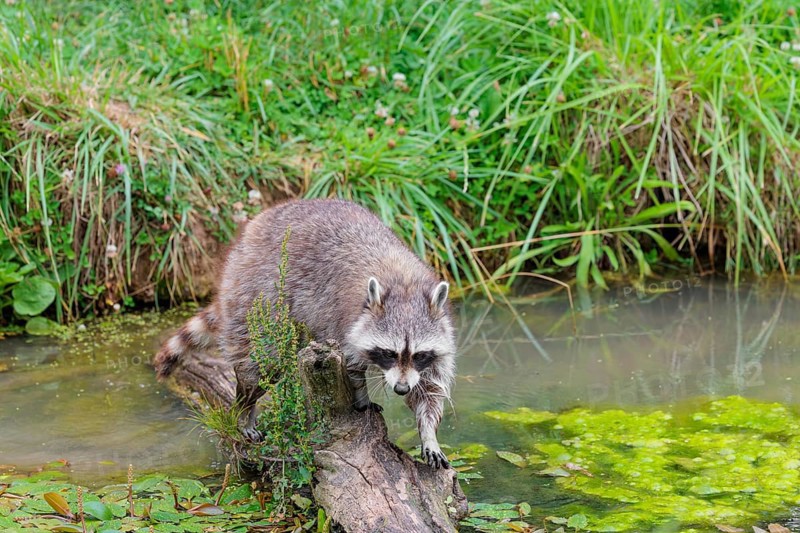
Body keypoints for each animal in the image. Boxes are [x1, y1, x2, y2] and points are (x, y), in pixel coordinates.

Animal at [154, 199, 456, 469]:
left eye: (419, 355)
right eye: (389, 353)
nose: (401, 388)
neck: (404, 282)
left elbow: (430, 389)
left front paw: (428, 433)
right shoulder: (344, 321)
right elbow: (353, 367)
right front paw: (361, 395)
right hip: (254, 293)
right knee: (261, 365)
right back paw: (245, 406)